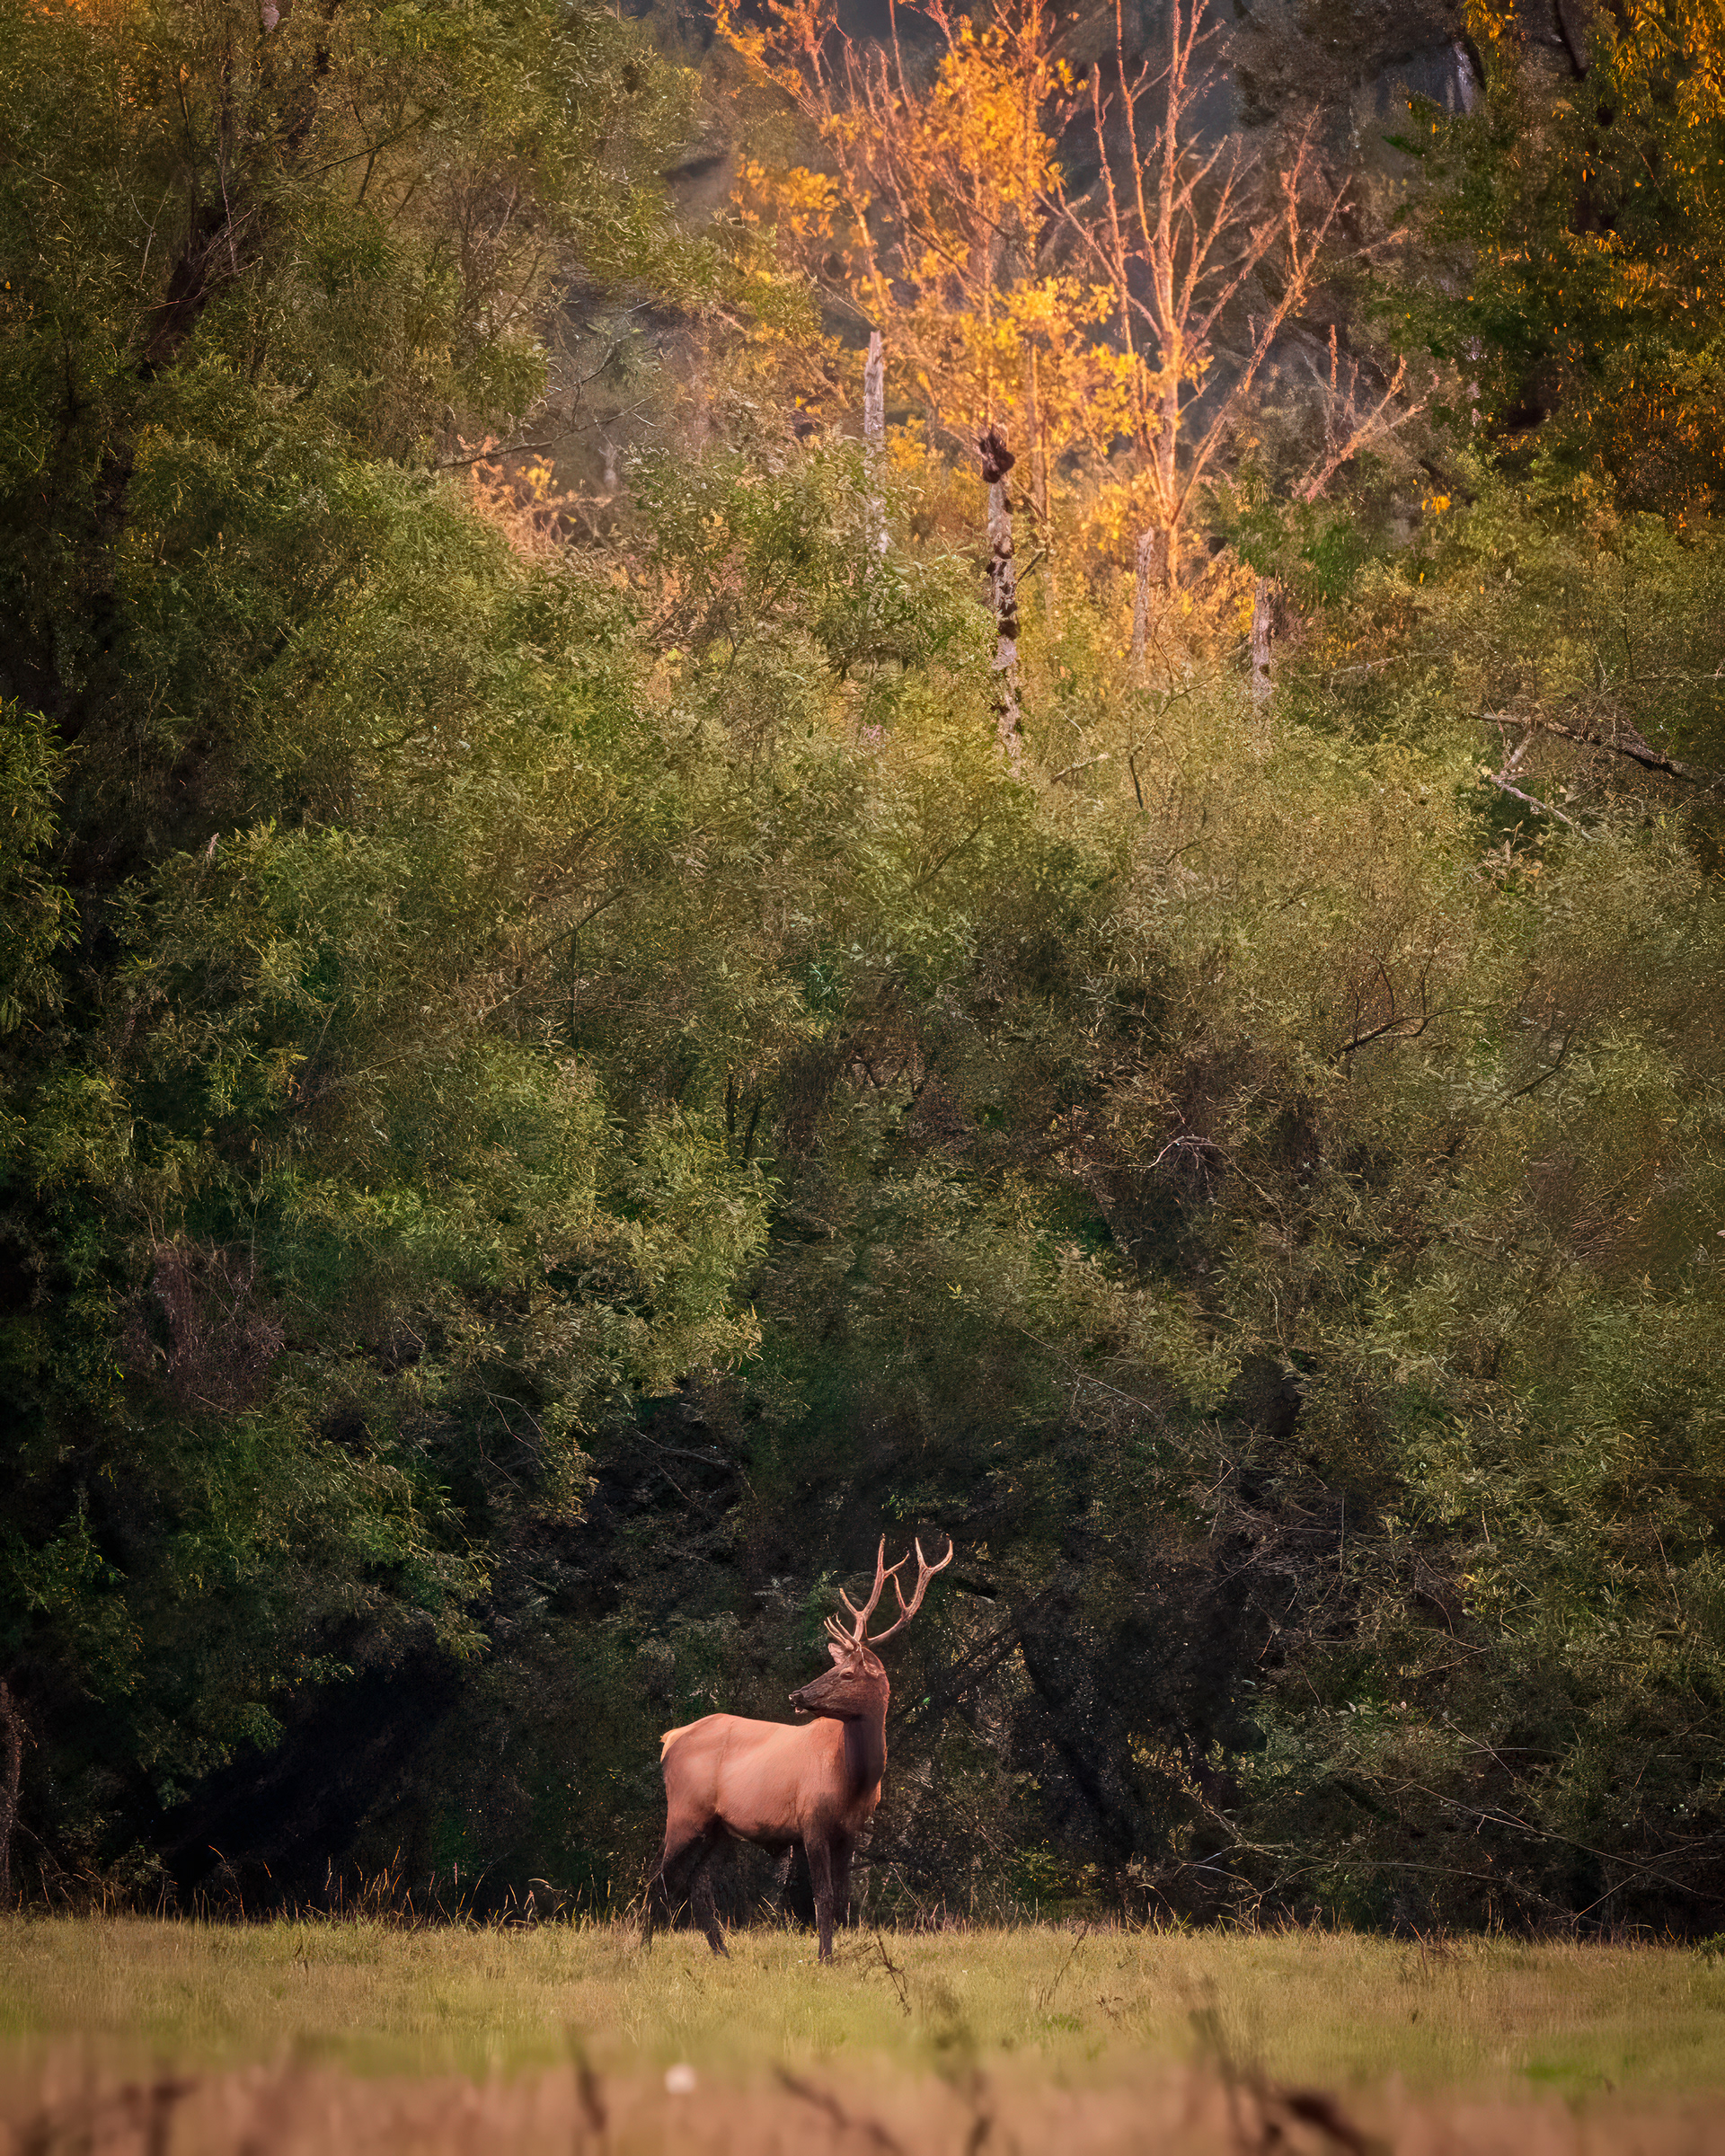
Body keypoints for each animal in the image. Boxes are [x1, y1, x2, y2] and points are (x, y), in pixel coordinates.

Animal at [643, 1535, 953, 1962]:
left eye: (847, 1673)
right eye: (835, 1667)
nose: (797, 1694)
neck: (853, 1779)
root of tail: (670, 1739)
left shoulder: (851, 1830)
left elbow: (842, 1898)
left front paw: (840, 1952)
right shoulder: (811, 1818)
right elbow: (821, 1895)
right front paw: (825, 1958)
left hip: (720, 1825)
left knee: (697, 1882)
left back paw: (722, 1953)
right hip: (685, 1809)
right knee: (658, 1876)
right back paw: (641, 1948)